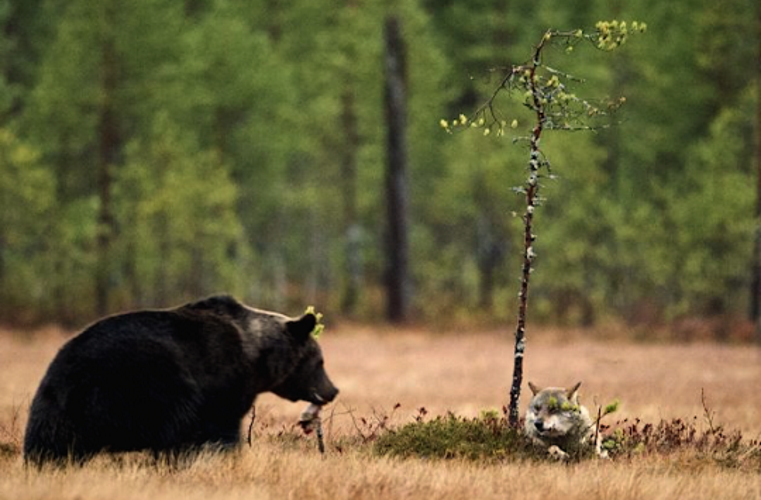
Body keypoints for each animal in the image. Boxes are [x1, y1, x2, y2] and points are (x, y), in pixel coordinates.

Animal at [22, 294, 336, 466]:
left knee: (48, 445)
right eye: (319, 361)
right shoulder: (222, 380)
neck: (256, 356)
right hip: (146, 385)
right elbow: (220, 428)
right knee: (174, 425)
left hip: (54, 406)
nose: (332, 390)